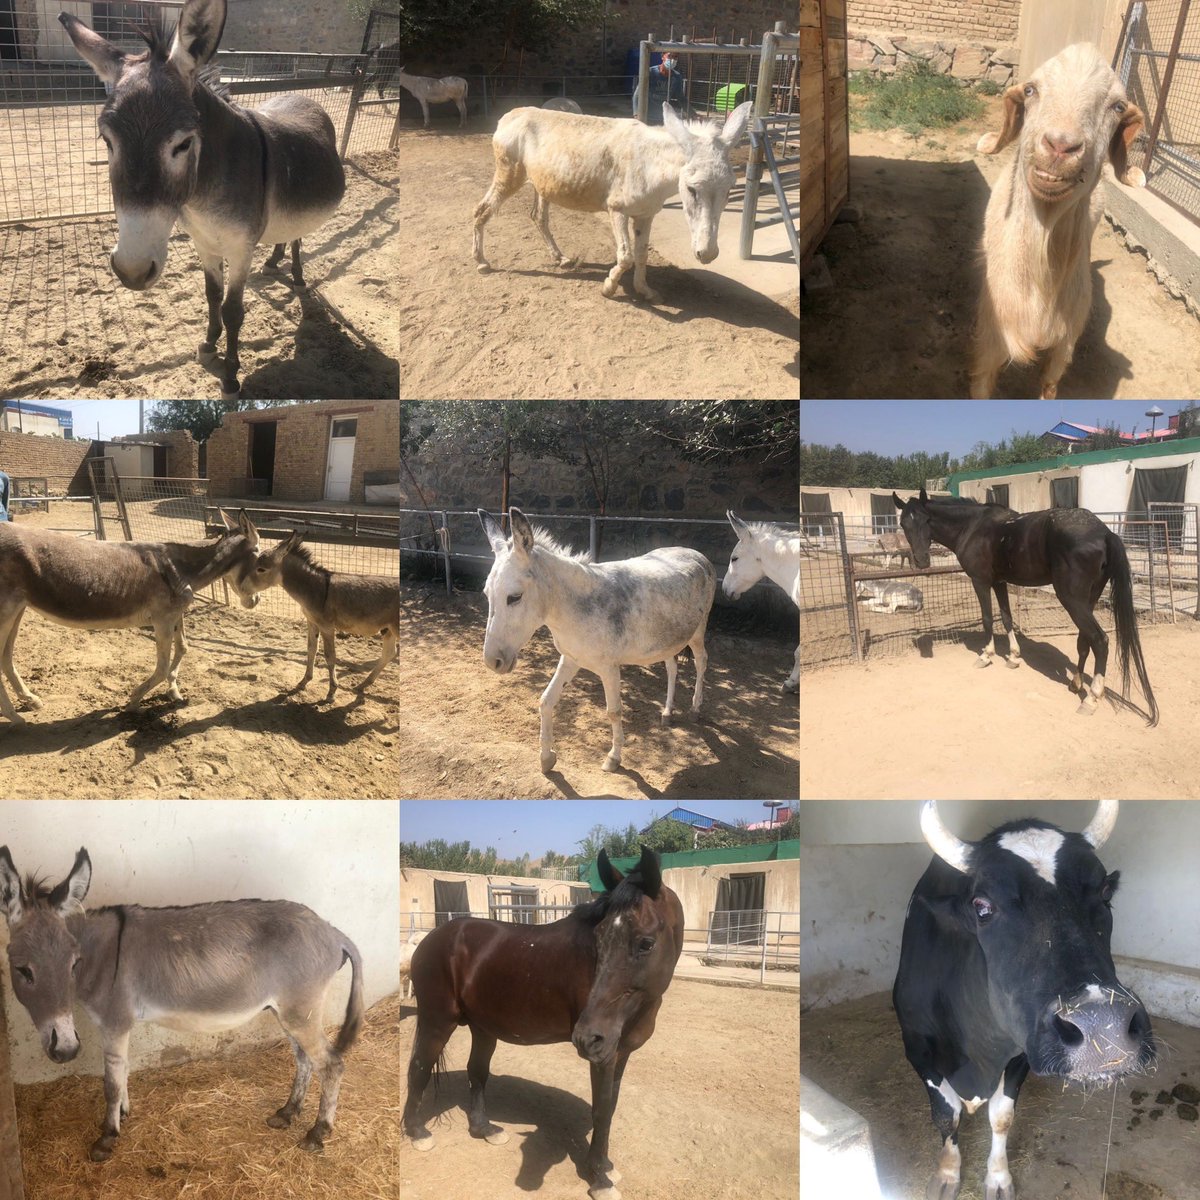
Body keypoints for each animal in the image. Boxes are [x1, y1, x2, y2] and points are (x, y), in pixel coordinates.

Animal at [0, 846, 363, 1160]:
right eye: (22, 970)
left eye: (73, 963)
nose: (65, 1051)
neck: (100, 956)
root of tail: (333, 932)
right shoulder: (121, 1026)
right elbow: (124, 1070)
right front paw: (125, 1113)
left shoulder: (115, 1022)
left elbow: (111, 1082)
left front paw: (107, 1136)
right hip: (288, 1012)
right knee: (304, 1061)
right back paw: (287, 1113)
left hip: (301, 1012)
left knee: (331, 1064)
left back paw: (317, 1132)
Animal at [60, 0, 346, 399]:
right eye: (107, 140)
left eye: (183, 144)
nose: (132, 271)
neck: (202, 199)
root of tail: (300, 95)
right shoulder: (205, 243)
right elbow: (212, 296)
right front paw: (209, 346)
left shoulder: (240, 249)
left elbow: (233, 310)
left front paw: (230, 376)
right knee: (285, 235)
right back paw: (274, 261)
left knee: (298, 238)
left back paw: (297, 274)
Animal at [403, 846, 685, 1200]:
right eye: (598, 939)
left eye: (646, 943)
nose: (587, 1037)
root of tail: (432, 939)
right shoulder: (604, 1056)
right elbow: (601, 1109)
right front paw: (599, 1179)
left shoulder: (619, 1053)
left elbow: (610, 1107)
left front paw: (606, 1166)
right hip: (437, 1020)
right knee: (419, 1067)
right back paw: (417, 1133)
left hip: (483, 1028)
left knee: (476, 1072)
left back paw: (484, 1129)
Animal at [478, 508, 716, 773]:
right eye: (487, 594)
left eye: (515, 597)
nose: (492, 661)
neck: (572, 609)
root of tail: (695, 553)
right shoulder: (570, 658)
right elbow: (546, 701)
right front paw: (546, 758)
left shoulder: (609, 668)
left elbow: (614, 711)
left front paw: (614, 758)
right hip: (668, 639)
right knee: (672, 668)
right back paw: (667, 713)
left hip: (697, 632)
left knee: (701, 661)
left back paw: (695, 708)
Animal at [893, 488, 1158, 724]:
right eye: (904, 523)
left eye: (927, 520)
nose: (922, 561)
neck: (972, 527)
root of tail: (1103, 532)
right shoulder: (999, 582)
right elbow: (1006, 617)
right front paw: (1013, 656)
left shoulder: (980, 581)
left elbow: (988, 619)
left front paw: (986, 656)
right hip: (1089, 598)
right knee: (1085, 640)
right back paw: (1075, 684)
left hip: (1072, 599)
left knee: (1100, 640)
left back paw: (1091, 699)